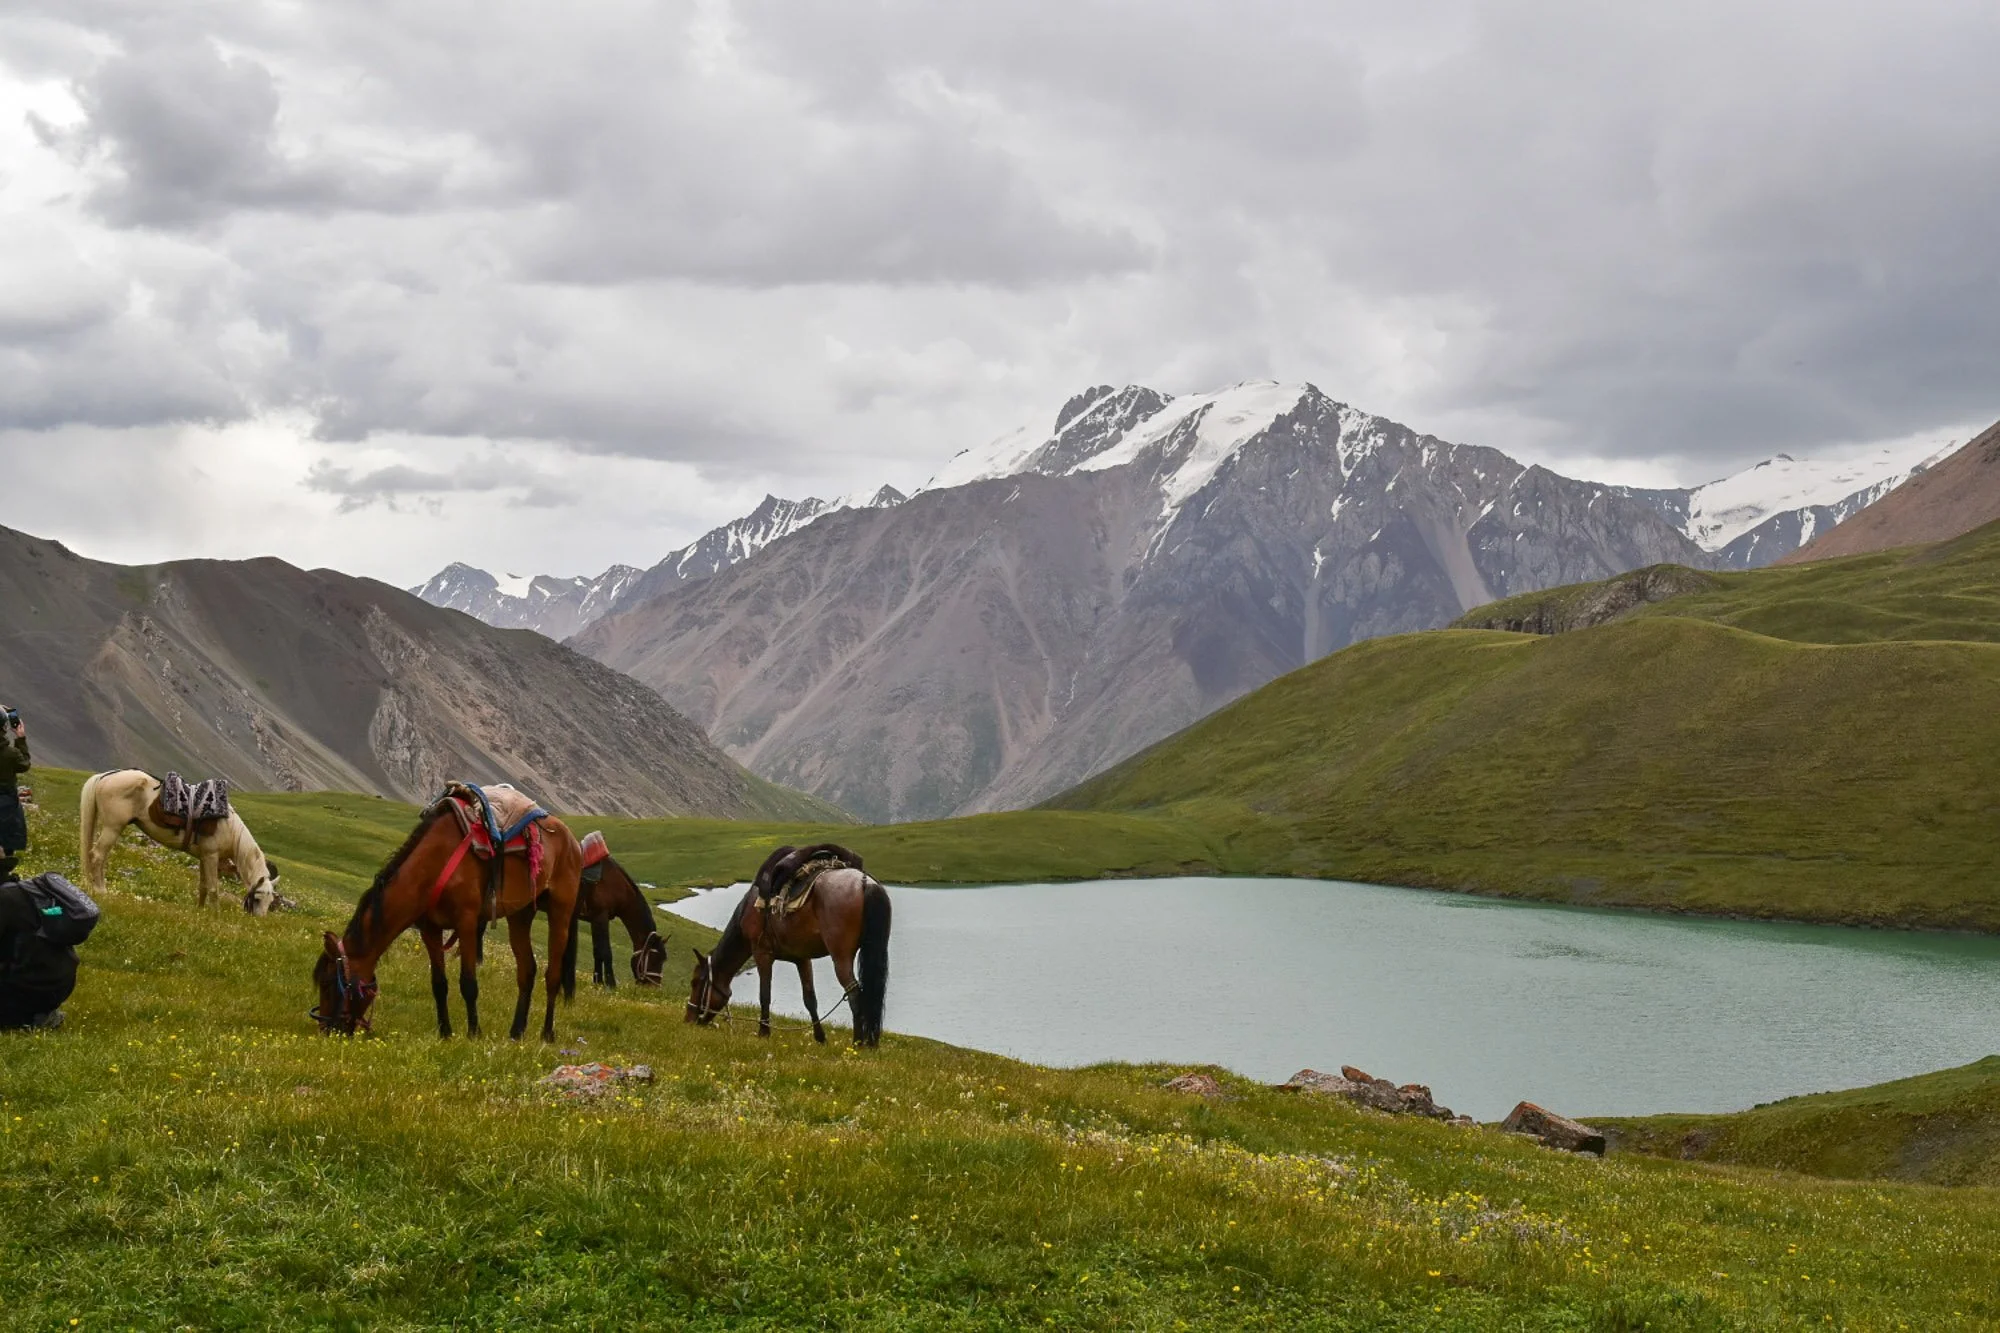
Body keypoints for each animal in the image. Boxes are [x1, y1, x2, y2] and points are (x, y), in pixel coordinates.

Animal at [79, 769, 281, 914]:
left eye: (271, 901)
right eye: (257, 898)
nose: (258, 920)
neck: (230, 829)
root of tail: (106, 775)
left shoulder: (203, 857)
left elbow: (203, 886)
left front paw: (200, 910)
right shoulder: (211, 856)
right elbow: (213, 888)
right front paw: (215, 914)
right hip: (113, 827)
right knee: (97, 856)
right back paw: (101, 890)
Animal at [312, 792, 583, 1042]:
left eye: (327, 983)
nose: (326, 1030)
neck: (436, 862)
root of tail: (571, 839)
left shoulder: (467, 923)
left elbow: (468, 983)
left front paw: (474, 1033)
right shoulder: (430, 930)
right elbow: (439, 984)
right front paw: (445, 1032)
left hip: (560, 910)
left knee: (552, 975)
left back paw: (547, 1033)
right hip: (521, 914)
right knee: (527, 970)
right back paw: (516, 1032)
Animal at [560, 852, 669, 995]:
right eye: (655, 958)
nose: (654, 989)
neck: (617, 884)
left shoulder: (594, 919)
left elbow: (597, 951)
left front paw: (598, 982)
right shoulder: (601, 917)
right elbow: (605, 952)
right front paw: (611, 984)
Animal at [686, 867, 891, 1046]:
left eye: (695, 982)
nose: (688, 1018)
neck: (749, 911)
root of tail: (864, 882)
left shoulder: (762, 954)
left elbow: (764, 994)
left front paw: (763, 1032)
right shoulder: (802, 959)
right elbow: (810, 999)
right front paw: (820, 1038)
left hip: (841, 957)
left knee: (855, 994)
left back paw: (857, 1043)